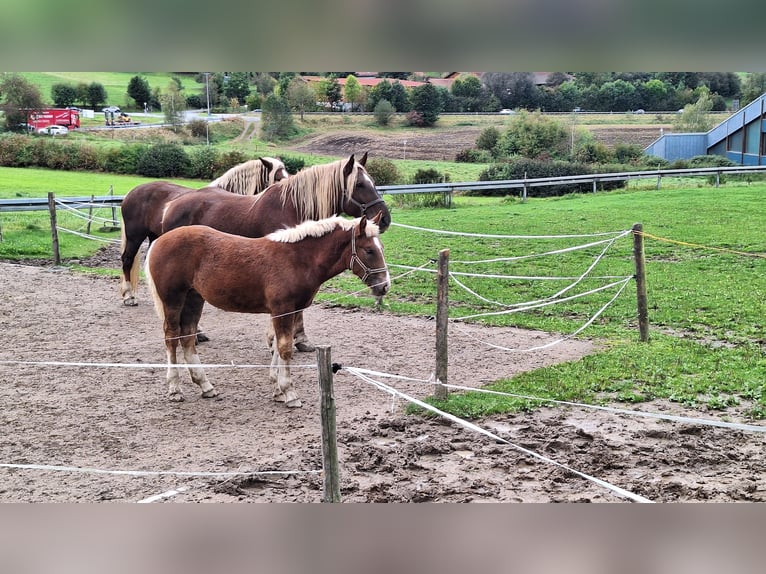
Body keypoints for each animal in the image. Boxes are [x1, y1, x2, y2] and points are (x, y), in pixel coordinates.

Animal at [120, 155, 288, 308]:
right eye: (278, 177)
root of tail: (132, 192)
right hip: (135, 236)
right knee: (127, 259)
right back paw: (129, 296)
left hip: (154, 236)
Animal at [144, 216, 390, 410]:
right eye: (369, 250)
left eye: (381, 248)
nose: (384, 286)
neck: (297, 260)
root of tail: (158, 241)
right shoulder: (283, 309)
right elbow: (285, 348)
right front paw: (290, 393)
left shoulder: (287, 311)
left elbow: (278, 348)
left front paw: (278, 391)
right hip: (173, 300)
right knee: (171, 337)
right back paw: (175, 389)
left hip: (194, 298)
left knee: (187, 336)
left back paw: (205, 385)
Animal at [160, 151, 390, 354]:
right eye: (359, 184)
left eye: (373, 182)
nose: (385, 218)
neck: (293, 208)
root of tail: (172, 204)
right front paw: (281, 341)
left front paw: (301, 340)